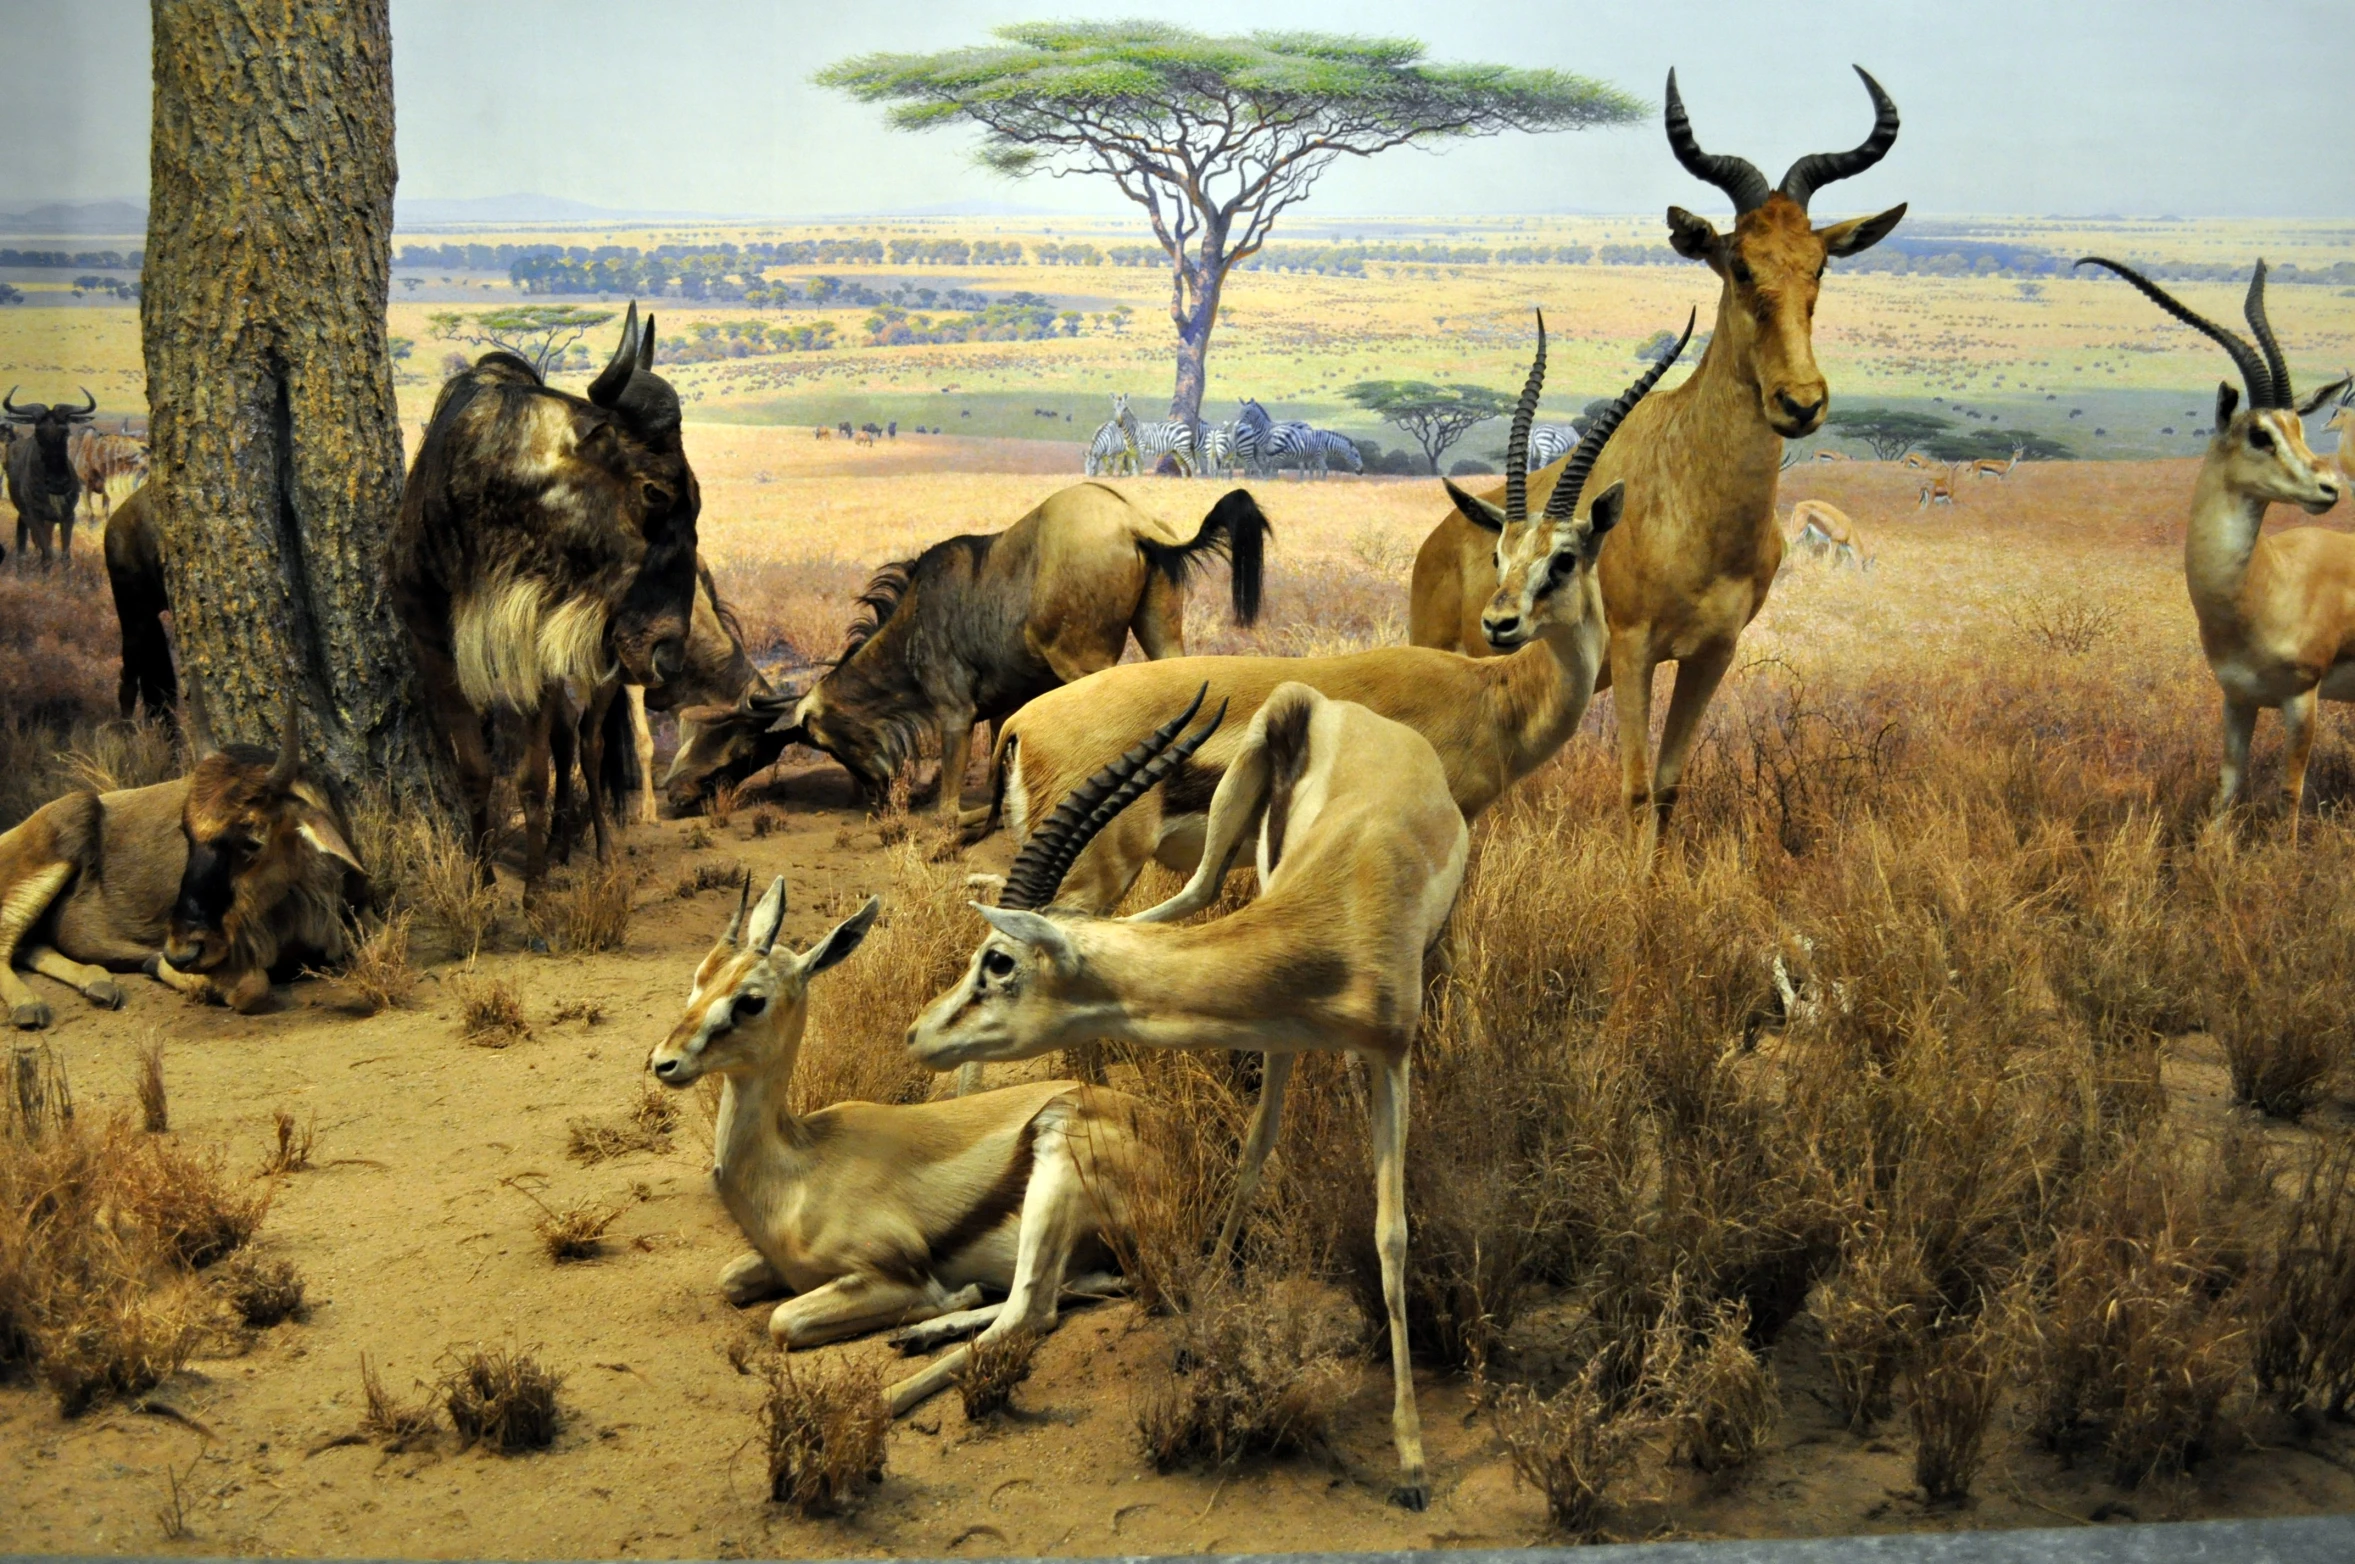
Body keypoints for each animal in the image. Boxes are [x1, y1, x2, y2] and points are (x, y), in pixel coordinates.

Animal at [0, 706, 362, 1026]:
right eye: (185, 830)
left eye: (252, 840)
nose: (180, 953)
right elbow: (253, 987)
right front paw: (161, 966)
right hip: (68, 827)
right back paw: (30, 1005)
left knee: (28, 947)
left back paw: (98, 983)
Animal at [687, 475, 1271, 819]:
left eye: (820, 741)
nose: (878, 794)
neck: (913, 621)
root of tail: (1134, 523)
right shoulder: (1003, 705)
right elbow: (999, 762)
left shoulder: (955, 711)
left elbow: (949, 804)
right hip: (1162, 634)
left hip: (1081, 660)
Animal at [2091, 256, 2345, 829]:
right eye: (2260, 434)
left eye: (2299, 427)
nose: (2329, 487)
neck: (2261, 588)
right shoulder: (2236, 698)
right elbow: (2228, 785)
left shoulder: (2303, 698)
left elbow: (2289, 793)